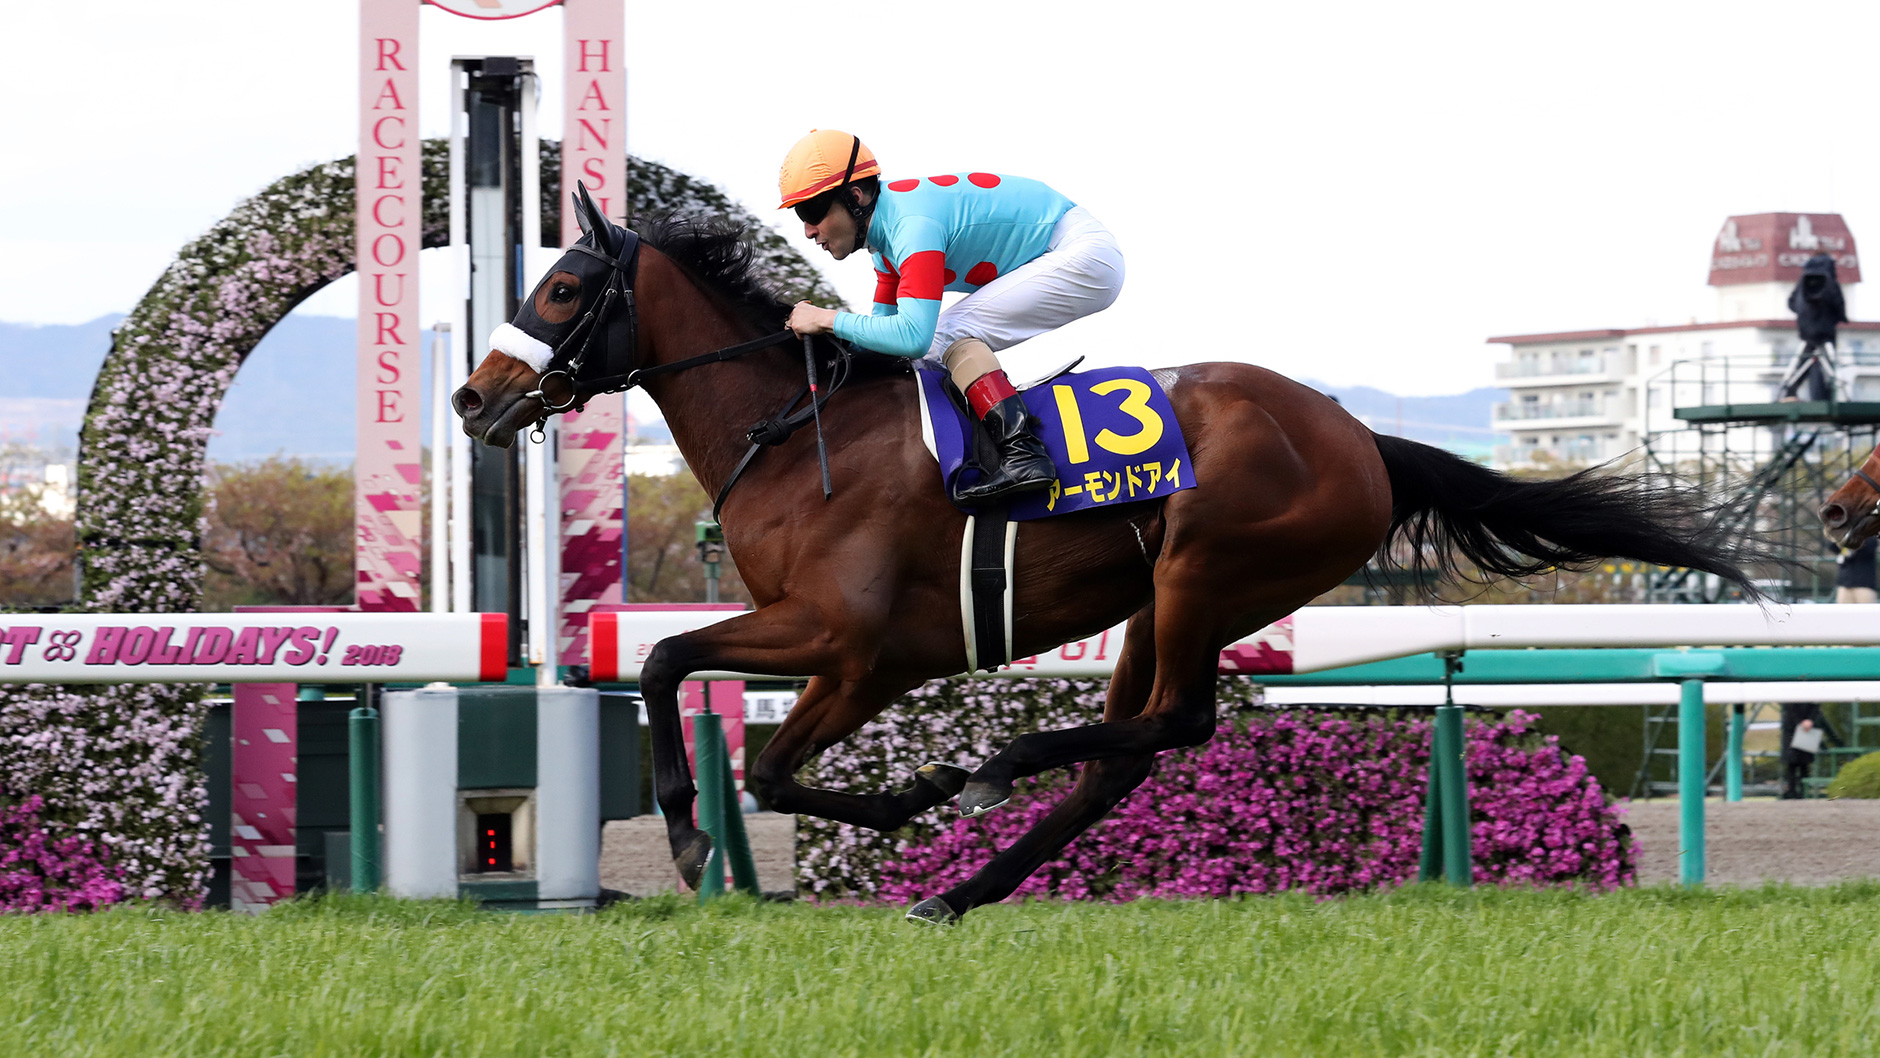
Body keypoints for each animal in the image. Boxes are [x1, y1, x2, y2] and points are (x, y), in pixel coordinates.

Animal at [453, 187, 1762, 923]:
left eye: (563, 284)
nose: (472, 398)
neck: (793, 434)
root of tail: (1363, 440)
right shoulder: (868, 658)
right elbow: (746, 745)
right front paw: (874, 807)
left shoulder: (847, 636)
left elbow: (672, 667)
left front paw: (700, 830)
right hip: (1153, 602)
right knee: (1124, 756)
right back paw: (956, 887)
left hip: (1203, 571)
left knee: (1171, 723)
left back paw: (999, 768)